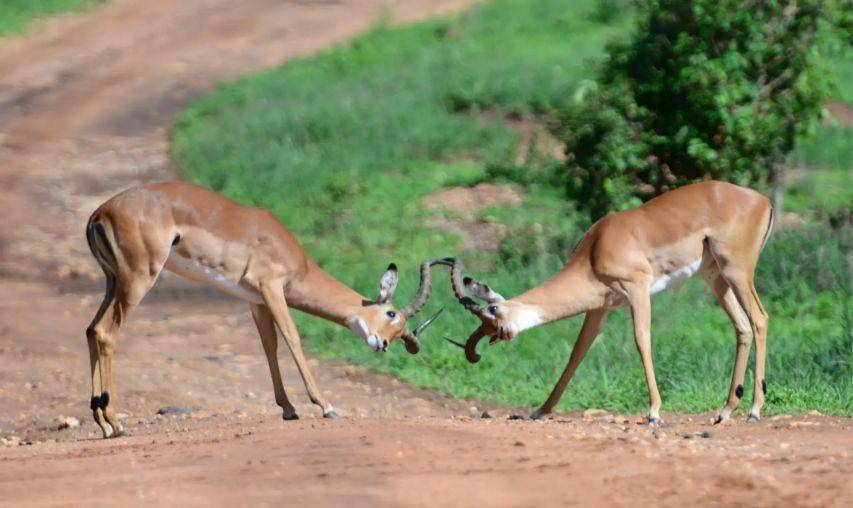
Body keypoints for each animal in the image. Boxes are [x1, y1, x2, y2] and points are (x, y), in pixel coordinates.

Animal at [85, 182, 446, 436]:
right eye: (391, 314)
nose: (381, 344)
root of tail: (100, 213)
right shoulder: (272, 288)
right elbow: (292, 338)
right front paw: (326, 406)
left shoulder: (255, 300)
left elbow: (269, 346)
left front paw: (288, 408)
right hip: (139, 279)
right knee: (106, 333)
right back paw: (117, 424)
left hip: (113, 281)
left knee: (91, 329)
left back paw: (103, 423)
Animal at [446, 181, 772, 426]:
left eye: (493, 312)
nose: (504, 334)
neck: (596, 248)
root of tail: (762, 199)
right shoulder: (599, 307)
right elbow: (577, 353)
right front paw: (540, 410)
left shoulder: (637, 289)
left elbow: (642, 340)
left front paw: (654, 413)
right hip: (715, 277)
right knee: (742, 327)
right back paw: (725, 411)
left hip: (737, 271)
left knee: (759, 319)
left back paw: (754, 411)